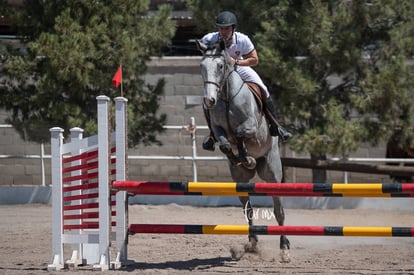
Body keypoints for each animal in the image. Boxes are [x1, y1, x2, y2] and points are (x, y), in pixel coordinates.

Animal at [196, 38, 290, 260]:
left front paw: (246, 157)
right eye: (202, 66)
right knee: (248, 209)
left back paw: (284, 247)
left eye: (220, 66)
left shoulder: (251, 127)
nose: (209, 101)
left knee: (278, 210)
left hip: (272, 172)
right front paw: (241, 158)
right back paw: (252, 242)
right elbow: (224, 143)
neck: (226, 96)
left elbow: (240, 133)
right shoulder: (218, 130)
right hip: (240, 181)